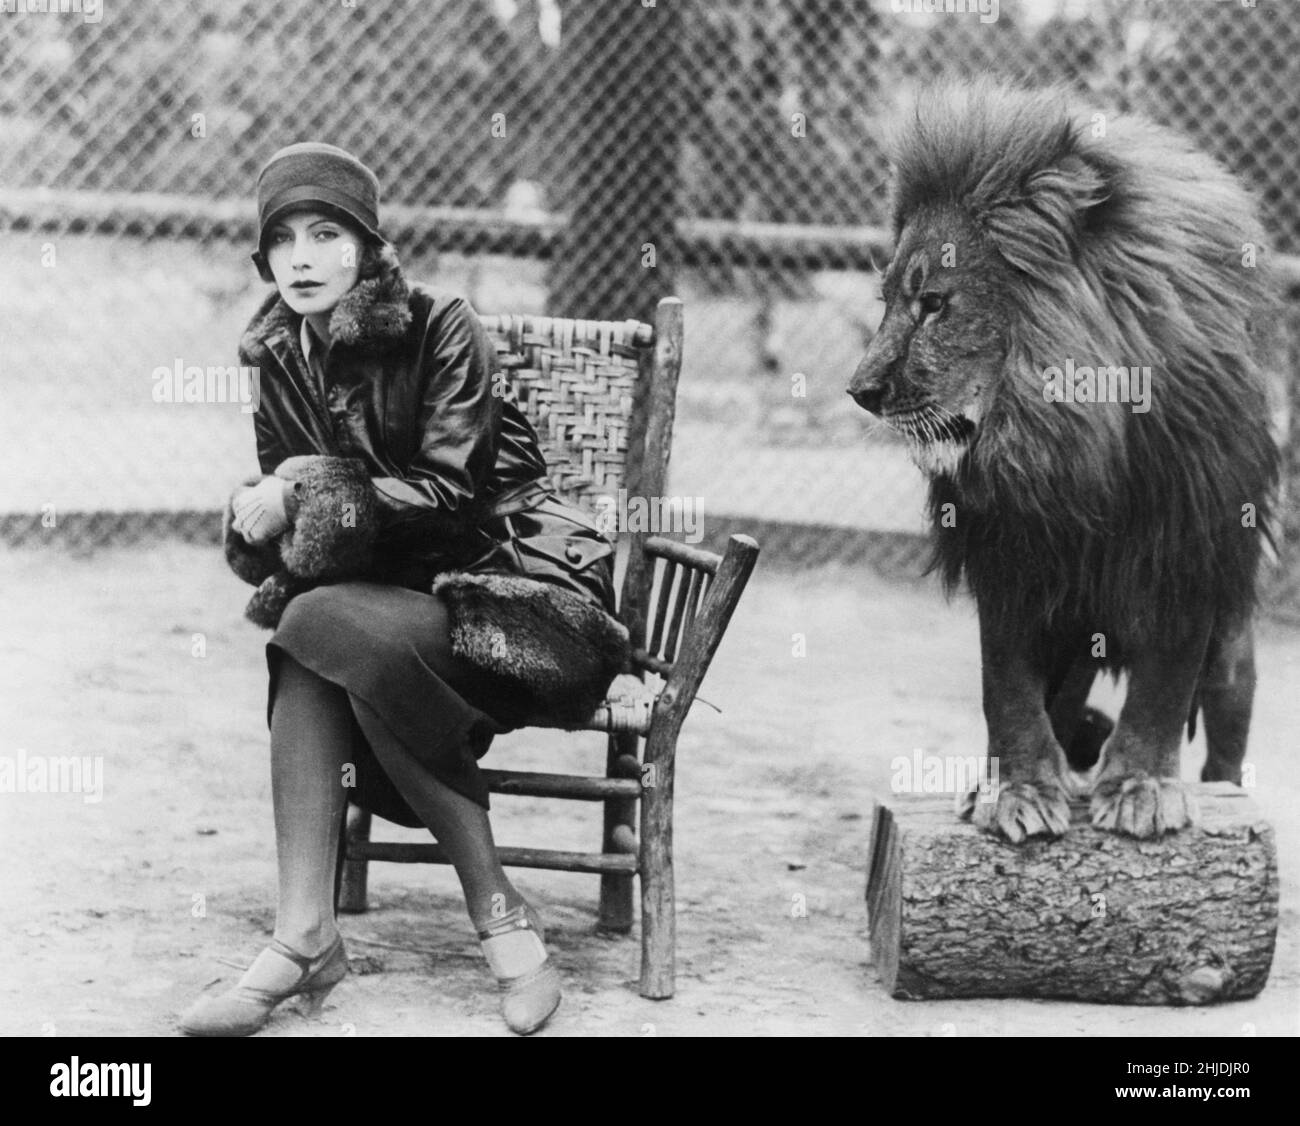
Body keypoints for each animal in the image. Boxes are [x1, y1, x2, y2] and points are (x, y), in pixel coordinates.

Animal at [842, 83, 1279, 837]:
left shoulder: (1187, 548)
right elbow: (1008, 691)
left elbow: (1163, 685)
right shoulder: (1011, 551)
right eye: (889, 301)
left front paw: (1140, 788)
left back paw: (1220, 791)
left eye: (935, 304)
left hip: (1230, 655)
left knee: (1224, 724)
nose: (861, 391)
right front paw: (1018, 794)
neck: (1065, 443)